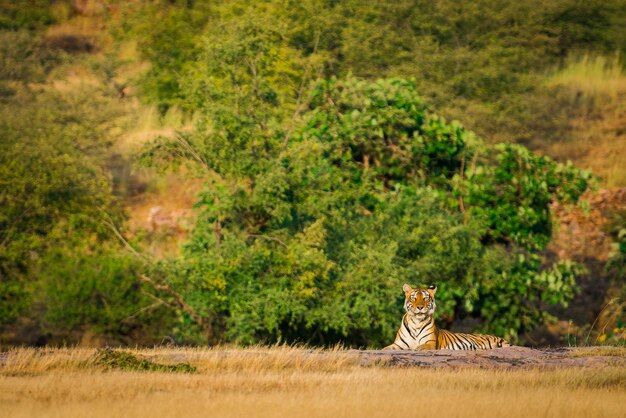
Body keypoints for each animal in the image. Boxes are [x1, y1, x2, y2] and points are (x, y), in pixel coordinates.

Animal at [382, 284, 510, 350]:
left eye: (425, 298)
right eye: (414, 298)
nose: (420, 307)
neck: (416, 323)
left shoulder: (430, 343)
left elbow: (420, 347)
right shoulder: (398, 344)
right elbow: (385, 349)